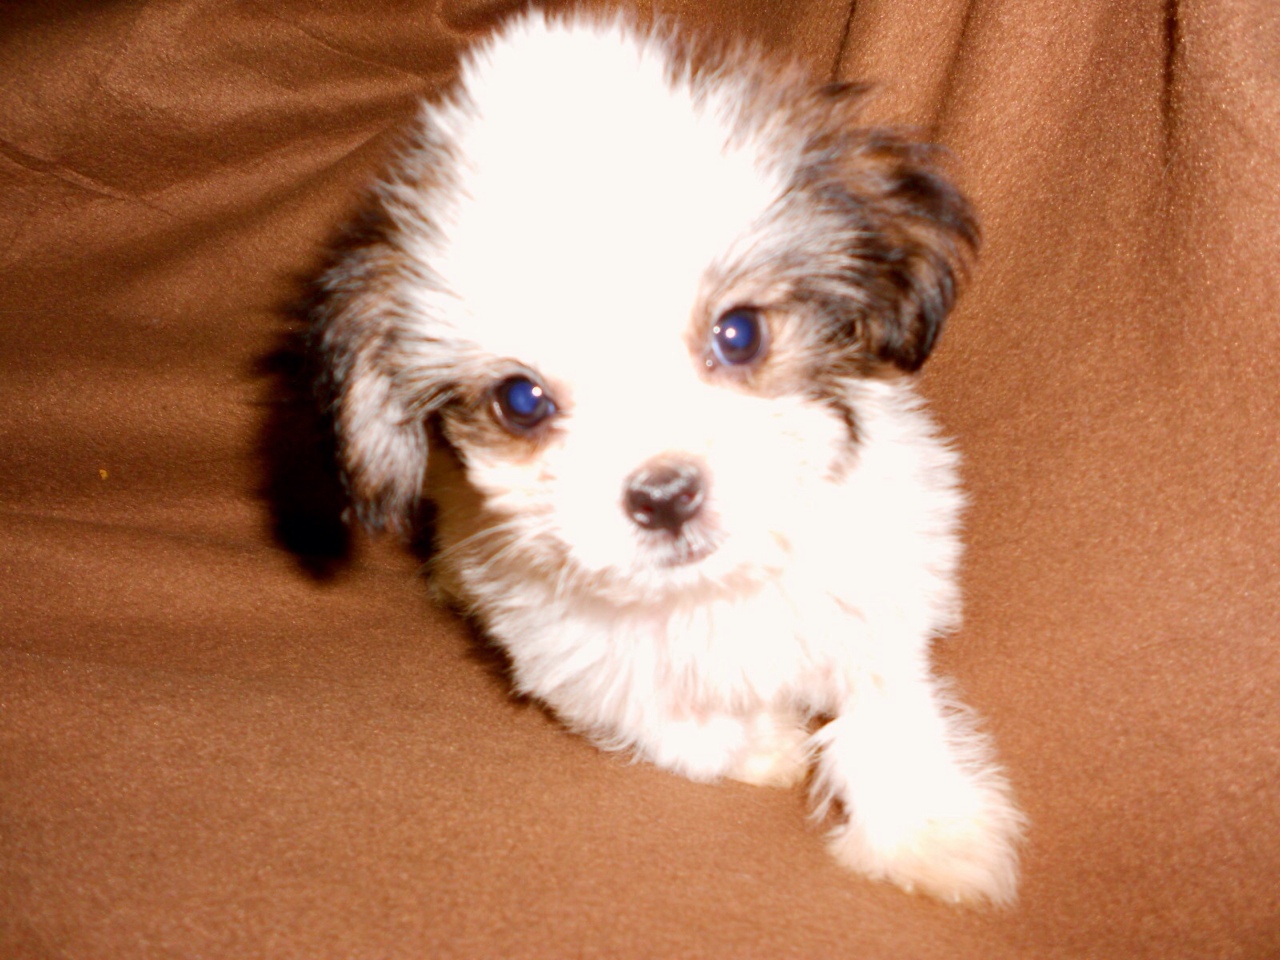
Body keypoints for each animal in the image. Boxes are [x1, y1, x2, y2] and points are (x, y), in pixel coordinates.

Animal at [310, 11, 1025, 906]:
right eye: (521, 400)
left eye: (739, 332)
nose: (664, 495)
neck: (708, 588)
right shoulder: (573, 660)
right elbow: (678, 726)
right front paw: (768, 744)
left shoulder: (879, 583)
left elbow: (886, 704)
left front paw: (931, 834)